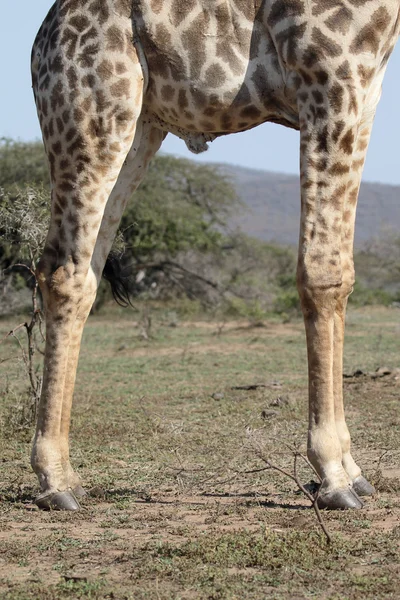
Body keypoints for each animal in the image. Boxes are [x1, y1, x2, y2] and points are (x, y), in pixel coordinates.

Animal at [29, 1, 398, 510]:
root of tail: (42, 38)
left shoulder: (365, 94)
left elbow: (342, 273)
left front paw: (353, 470)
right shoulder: (328, 73)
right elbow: (322, 273)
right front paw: (332, 476)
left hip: (141, 124)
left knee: (84, 273)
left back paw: (66, 476)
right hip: (90, 114)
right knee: (62, 271)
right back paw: (54, 482)